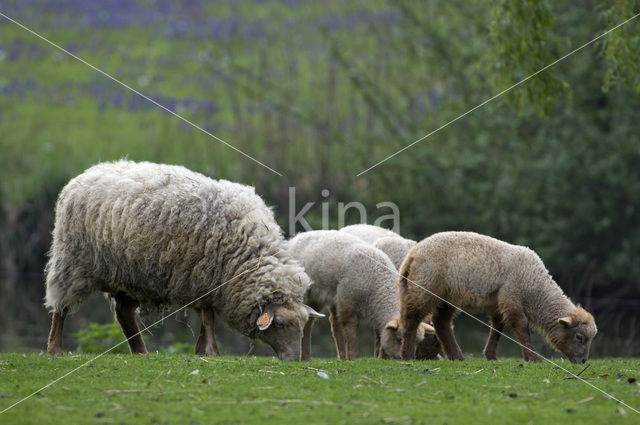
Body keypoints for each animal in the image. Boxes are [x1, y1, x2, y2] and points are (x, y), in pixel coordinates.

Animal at [44, 161, 322, 360]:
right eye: (281, 323)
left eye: (303, 325)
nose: (295, 359)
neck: (247, 255)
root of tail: (86, 173)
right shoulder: (200, 278)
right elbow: (208, 318)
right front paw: (212, 351)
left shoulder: (207, 283)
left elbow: (205, 319)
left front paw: (201, 350)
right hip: (72, 261)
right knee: (61, 307)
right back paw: (55, 348)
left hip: (128, 274)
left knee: (124, 313)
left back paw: (140, 351)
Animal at [288, 230, 436, 360]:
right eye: (399, 339)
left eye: (418, 342)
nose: (406, 358)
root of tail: (297, 237)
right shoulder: (347, 303)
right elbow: (351, 334)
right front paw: (354, 358)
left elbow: (381, 333)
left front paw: (382, 357)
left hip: (317, 298)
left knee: (310, 321)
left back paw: (307, 357)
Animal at [398, 230, 596, 362]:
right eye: (579, 337)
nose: (583, 361)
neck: (535, 289)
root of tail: (412, 254)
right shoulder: (511, 295)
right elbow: (522, 326)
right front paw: (533, 358)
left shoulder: (497, 301)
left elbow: (498, 328)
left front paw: (491, 356)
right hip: (425, 287)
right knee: (411, 318)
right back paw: (407, 354)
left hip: (448, 295)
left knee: (441, 323)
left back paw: (457, 356)